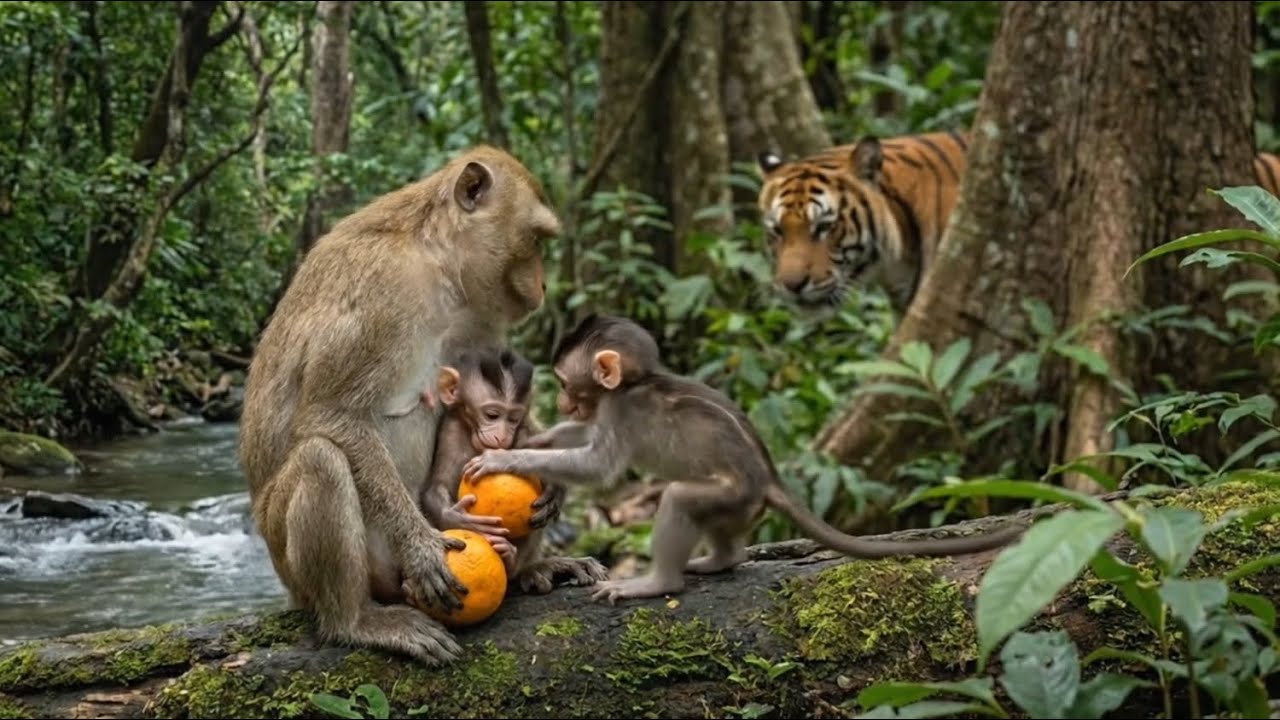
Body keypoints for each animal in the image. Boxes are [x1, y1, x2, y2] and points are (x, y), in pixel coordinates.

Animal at [238, 144, 561, 666]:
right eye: (535, 240)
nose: (544, 285)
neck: (436, 260)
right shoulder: (383, 291)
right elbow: (331, 414)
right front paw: (422, 548)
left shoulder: (476, 317)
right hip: (292, 561)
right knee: (320, 459)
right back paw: (357, 621)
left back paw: (532, 569)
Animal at [421, 345, 609, 594]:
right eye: (492, 415)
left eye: (513, 418)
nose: (501, 436)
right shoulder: (451, 431)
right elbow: (436, 486)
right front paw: (459, 518)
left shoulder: (524, 428)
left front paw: (555, 488)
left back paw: (515, 563)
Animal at [461, 313, 1028, 606]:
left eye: (562, 382)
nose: (560, 402)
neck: (635, 382)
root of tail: (769, 480)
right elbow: (582, 436)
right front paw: (535, 448)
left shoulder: (623, 410)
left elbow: (601, 466)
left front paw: (511, 461)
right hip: (740, 508)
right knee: (720, 533)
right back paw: (720, 560)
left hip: (733, 493)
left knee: (680, 498)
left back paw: (658, 582)